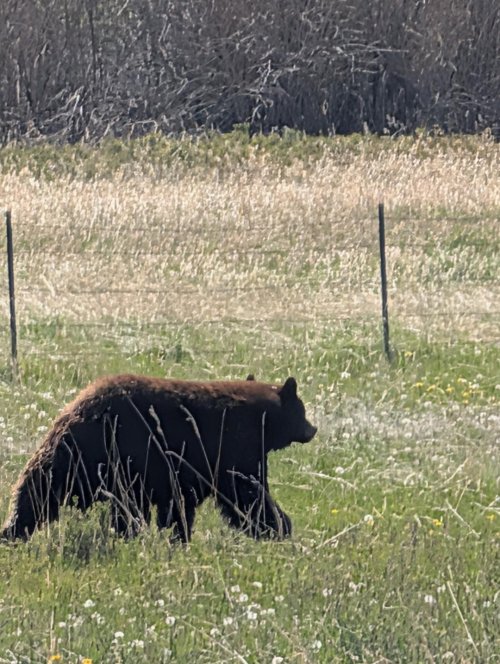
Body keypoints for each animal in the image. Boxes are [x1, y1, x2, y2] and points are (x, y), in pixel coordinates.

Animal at [1, 374, 316, 543]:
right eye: (302, 410)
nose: (312, 429)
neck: (263, 421)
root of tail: (73, 412)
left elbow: (180, 506)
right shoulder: (232, 452)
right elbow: (247, 495)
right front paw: (278, 526)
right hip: (106, 459)